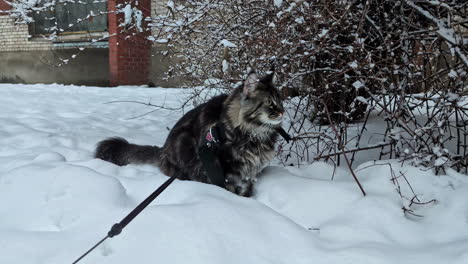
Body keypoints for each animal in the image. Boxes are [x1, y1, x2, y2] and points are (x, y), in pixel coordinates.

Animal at [94, 71, 284, 197]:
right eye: (269, 103)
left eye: (280, 101)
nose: (282, 112)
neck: (254, 134)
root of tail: (163, 149)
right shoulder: (227, 170)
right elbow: (229, 189)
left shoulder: (249, 173)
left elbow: (246, 190)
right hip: (185, 144)